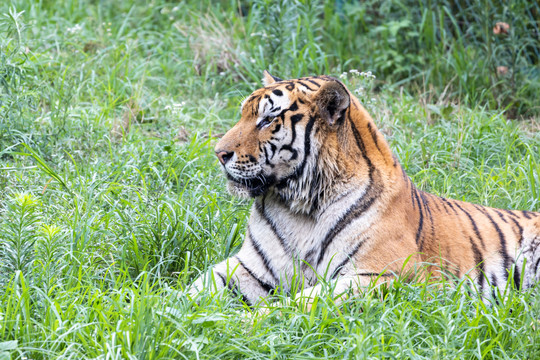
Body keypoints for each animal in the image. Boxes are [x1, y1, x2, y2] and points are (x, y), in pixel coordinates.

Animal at [188, 71, 536, 310]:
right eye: (243, 114)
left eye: (267, 120)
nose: (218, 153)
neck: (298, 207)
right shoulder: (250, 267)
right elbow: (197, 286)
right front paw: (177, 315)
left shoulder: (378, 274)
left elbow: (298, 304)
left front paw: (246, 322)